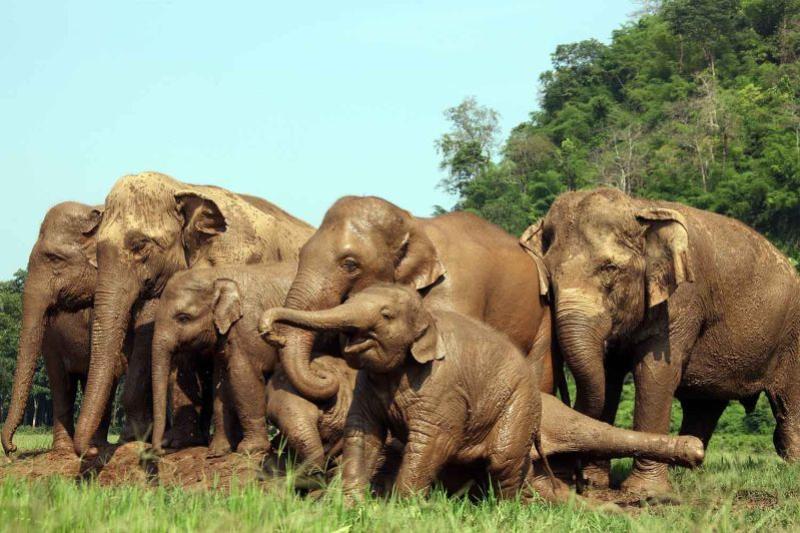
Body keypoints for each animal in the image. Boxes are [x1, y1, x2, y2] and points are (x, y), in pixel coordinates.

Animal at [74, 171, 314, 457]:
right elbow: (183, 355)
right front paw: (181, 443)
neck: (183, 187)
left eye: (140, 245)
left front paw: (218, 448)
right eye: (97, 253)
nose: (91, 451)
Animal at [150, 263, 356, 467]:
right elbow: (222, 383)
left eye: (183, 318)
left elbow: (243, 377)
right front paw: (217, 452)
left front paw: (250, 450)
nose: (161, 450)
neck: (217, 274)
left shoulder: (248, 326)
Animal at [261, 284, 705, 500]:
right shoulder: (368, 386)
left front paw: (401, 507)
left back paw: (508, 510)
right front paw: (350, 505)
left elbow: (433, 438)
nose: (267, 327)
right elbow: (364, 434)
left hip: (519, 403)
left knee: (504, 459)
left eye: (385, 315)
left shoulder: (441, 388)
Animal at [266, 195, 564, 412]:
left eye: (349, 264)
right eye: (301, 253)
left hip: (542, 316)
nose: (269, 331)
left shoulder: (456, 287)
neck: (413, 224)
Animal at [520, 187, 800, 494]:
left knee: (788, 402)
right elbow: (608, 376)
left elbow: (654, 372)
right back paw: (687, 473)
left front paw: (643, 491)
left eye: (610, 268)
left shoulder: (681, 301)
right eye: (549, 276)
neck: (640, 209)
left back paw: (793, 468)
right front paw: (597, 484)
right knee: (704, 406)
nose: (575, 480)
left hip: (792, 335)